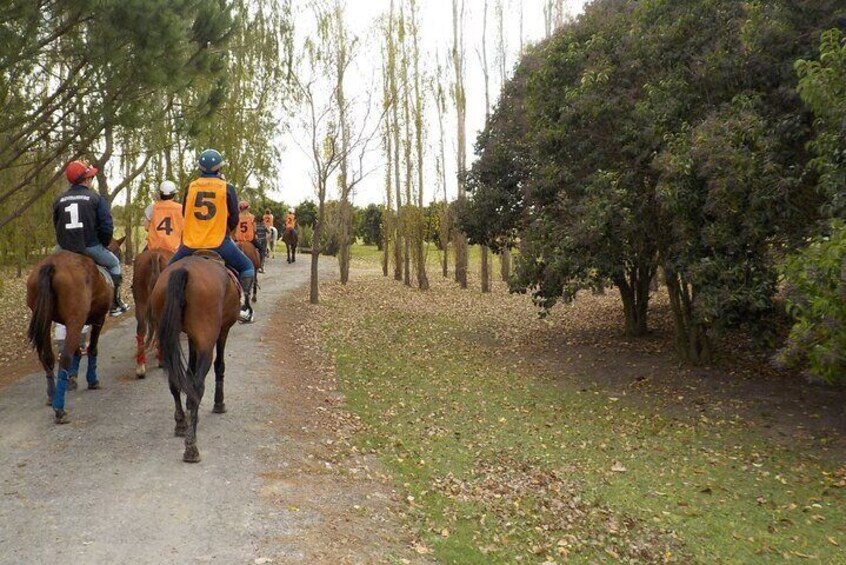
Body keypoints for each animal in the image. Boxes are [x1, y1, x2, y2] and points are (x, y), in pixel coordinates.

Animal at [27, 235, 126, 424]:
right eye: (118, 252)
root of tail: (51, 265)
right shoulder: (97, 319)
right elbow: (91, 348)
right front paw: (92, 380)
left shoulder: (70, 322)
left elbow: (77, 350)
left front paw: (72, 379)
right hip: (76, 319)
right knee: (65, 357)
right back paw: (59, 409)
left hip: (47, 320)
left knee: (48, 357)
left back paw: (52, 396)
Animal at [150, 256, 238, 462]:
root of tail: (184, 270)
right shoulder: (223, 330)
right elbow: (219, 366)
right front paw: (219, 403)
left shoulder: (191, 336)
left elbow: (189, 370)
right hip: (207, 338)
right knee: (197, 386)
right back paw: (191, 446)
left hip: (166, 337)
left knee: (175, 381)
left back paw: (181, 423)